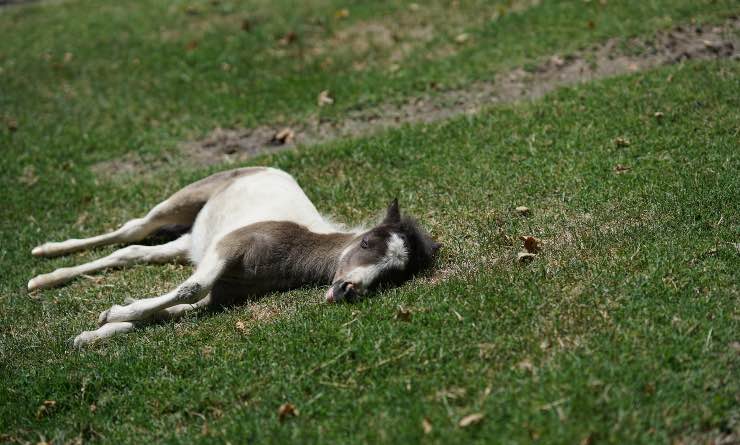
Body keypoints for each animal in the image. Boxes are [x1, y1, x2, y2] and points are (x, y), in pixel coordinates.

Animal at [27, 167, 441, 347]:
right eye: (368, 243)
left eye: (392, 275)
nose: (347, 289)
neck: (291, 250)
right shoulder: (228, 250)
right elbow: (190, 289)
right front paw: (111, 314)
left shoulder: (221, 294)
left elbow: (172, 311)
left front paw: (92, 335)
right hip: (182, 201)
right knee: (131, 229)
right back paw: (43, 258)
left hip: (191, 242)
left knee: (132, 252)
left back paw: (46, 278)